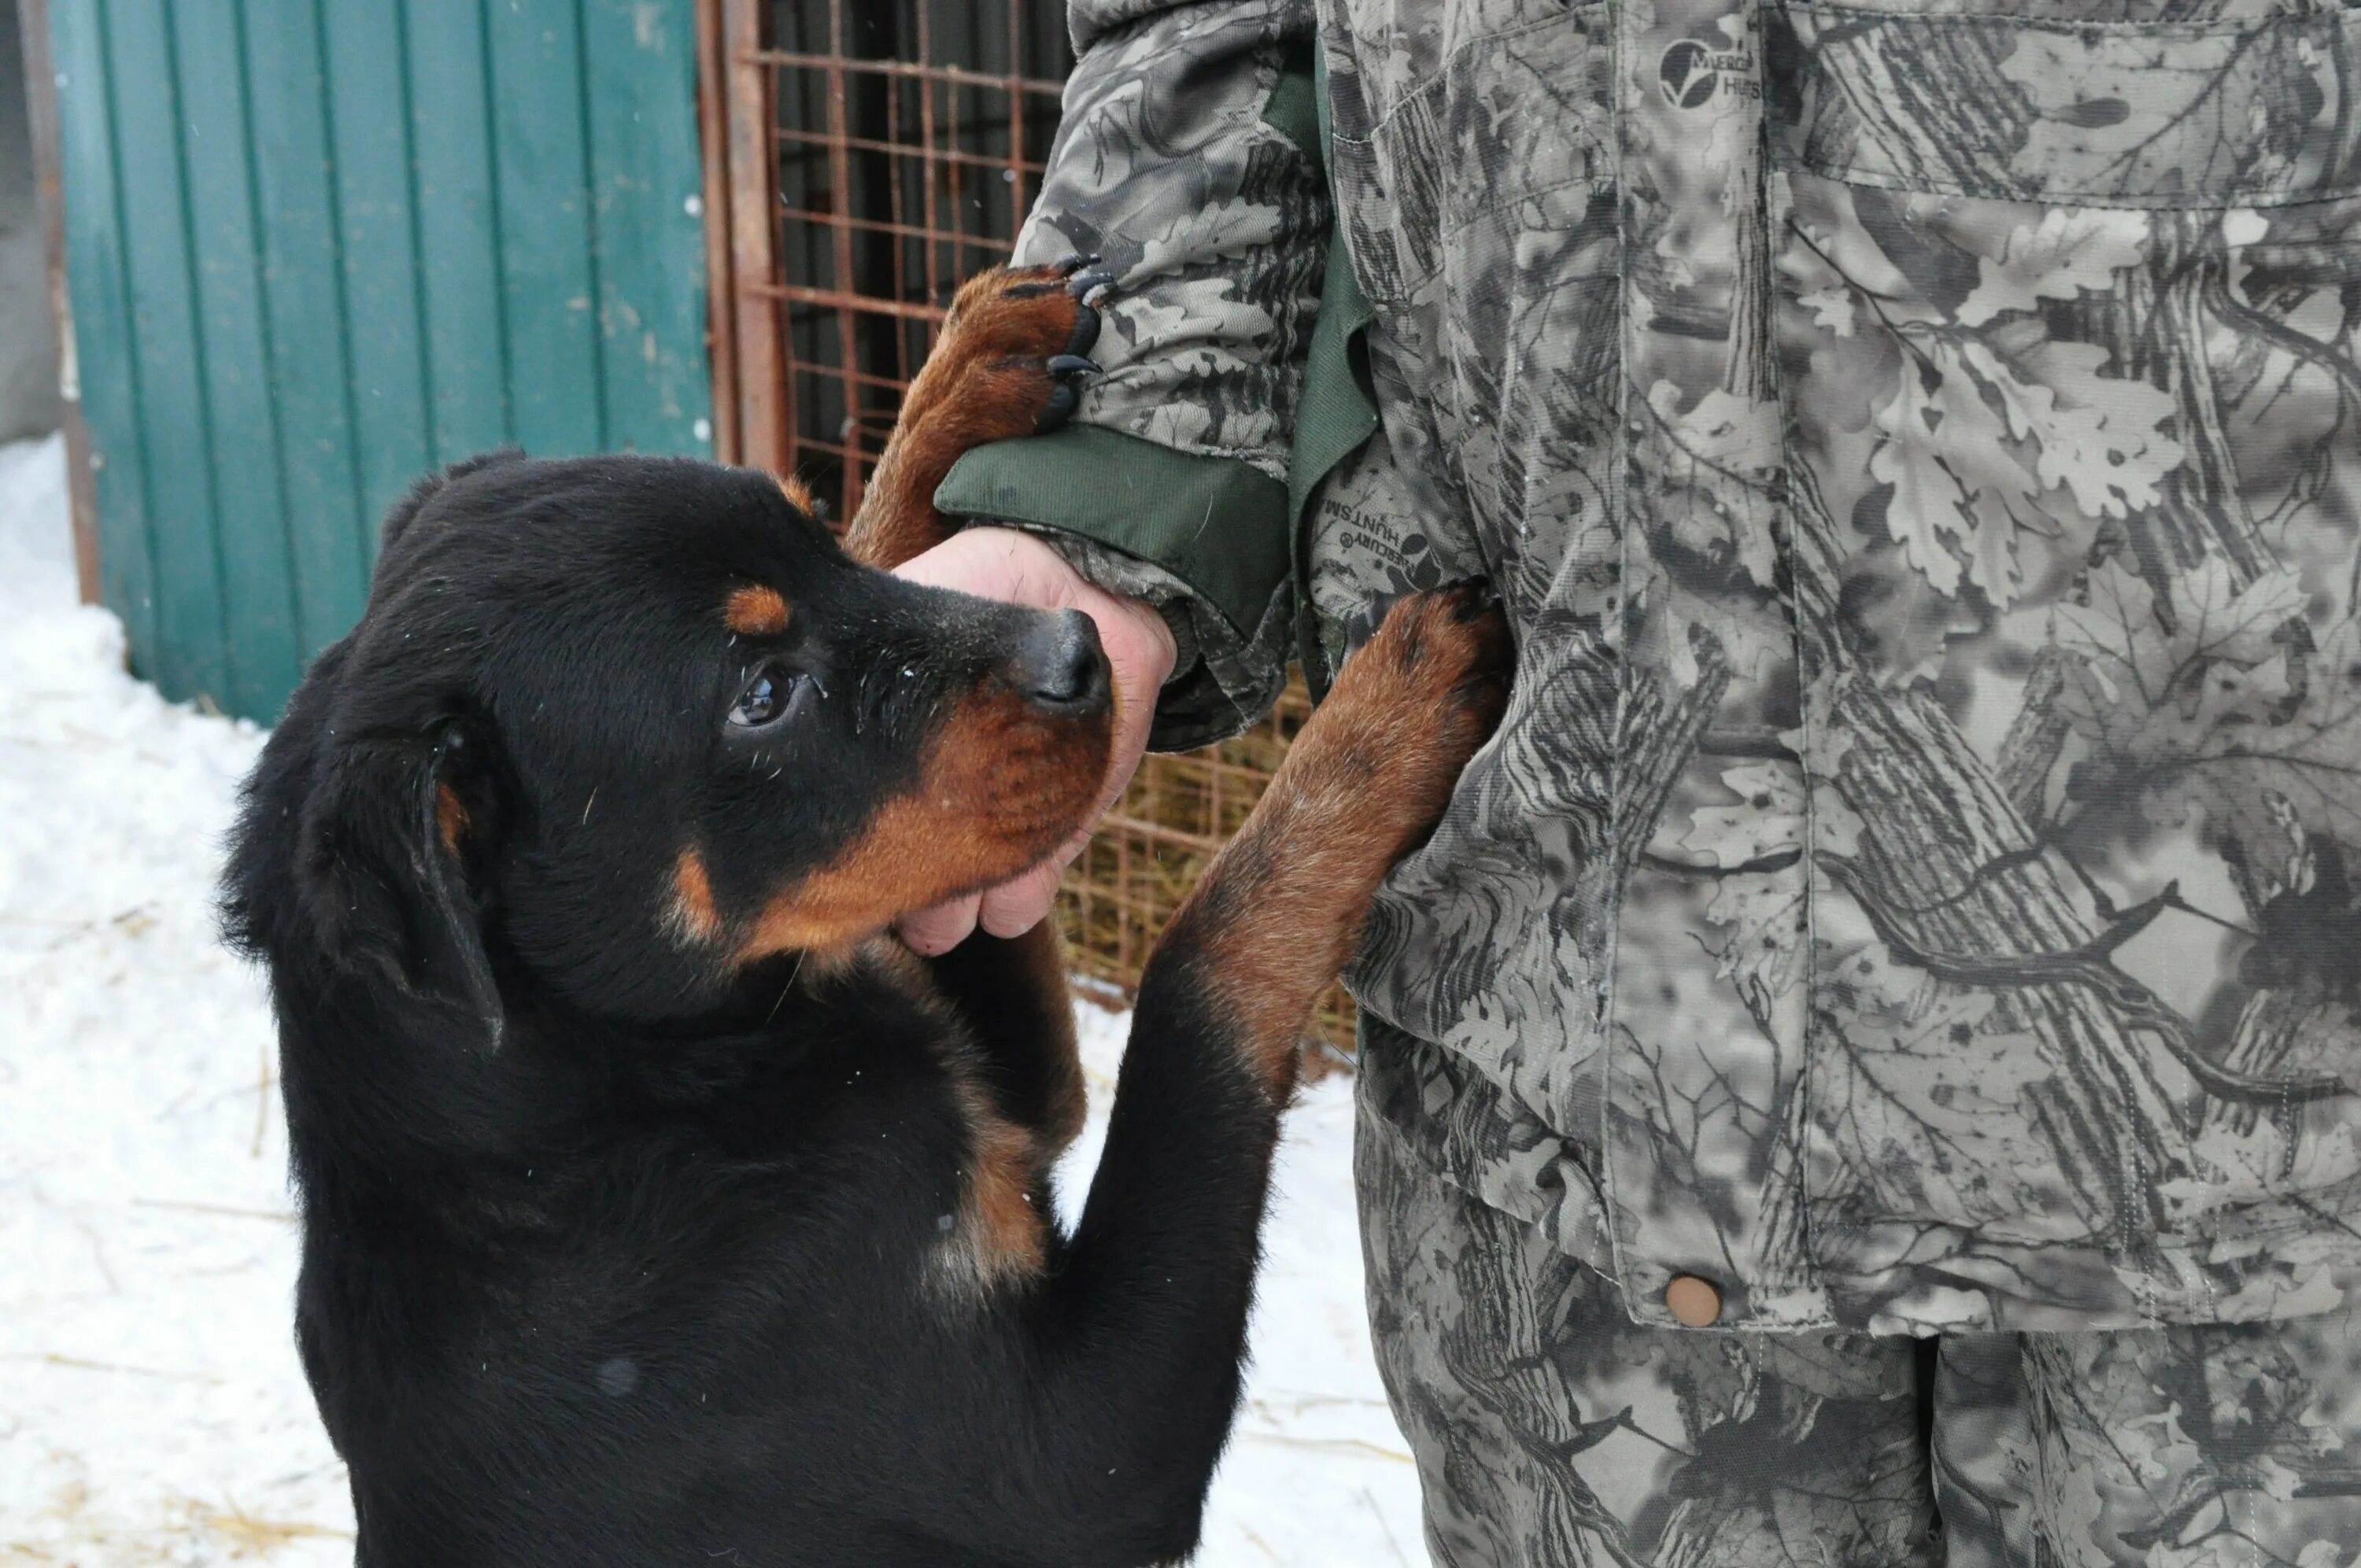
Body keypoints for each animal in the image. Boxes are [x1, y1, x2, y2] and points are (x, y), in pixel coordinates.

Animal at [222, 263, 1511, 1558]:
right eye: (762, 693)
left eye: (809, 527)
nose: (1081, 648)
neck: (614, 1114)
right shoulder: (1076, 1459)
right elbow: (1192, 976)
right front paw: (1377, 724)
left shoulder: (1002, 1095)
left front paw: (966, 370)